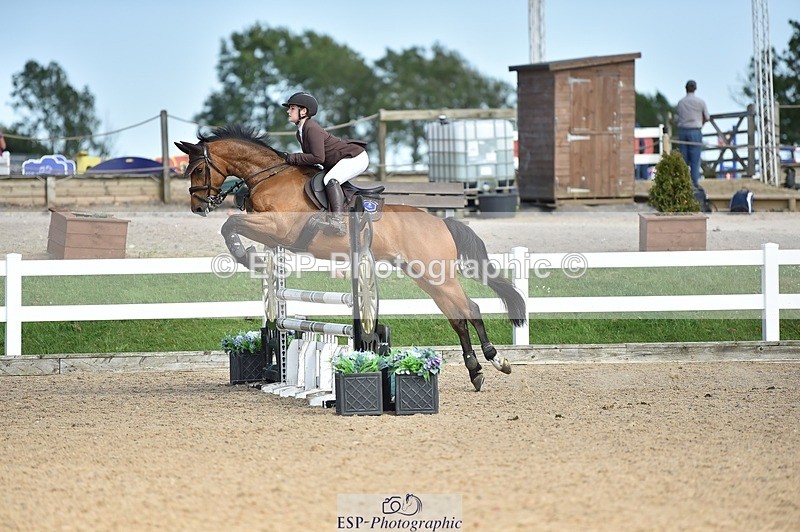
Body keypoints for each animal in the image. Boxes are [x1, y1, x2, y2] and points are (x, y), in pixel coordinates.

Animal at [175, 125, 526, 391]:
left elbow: (230, 224)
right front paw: (254, 259)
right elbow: (236, 227)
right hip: (427, 277)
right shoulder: (273, 234)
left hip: (436, 274)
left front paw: (245, 255)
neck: (269, 176)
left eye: (199, 168)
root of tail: (442, 222)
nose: (198, 207)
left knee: (471, 309)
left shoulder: (280, 228)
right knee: (458, 318)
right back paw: (476, 371)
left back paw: (496, 360)